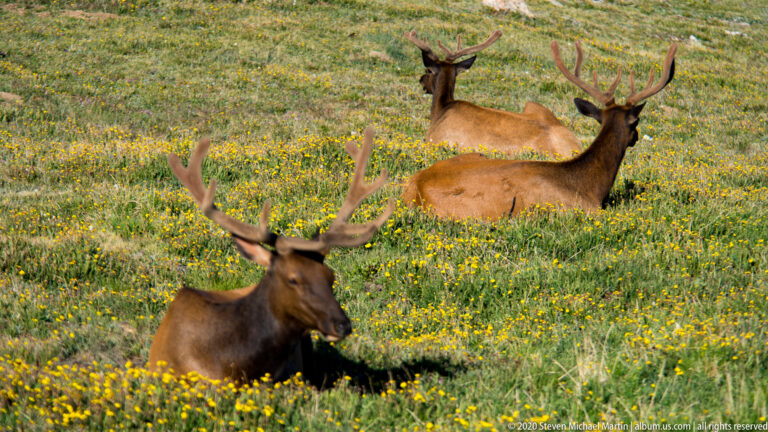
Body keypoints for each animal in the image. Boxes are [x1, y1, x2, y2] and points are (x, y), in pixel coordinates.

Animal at [406, 30, 583, 157]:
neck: (440, 110)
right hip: (534, 106)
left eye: (428, 70)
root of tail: (577, 147)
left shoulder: (435, 140)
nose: (421, 80)